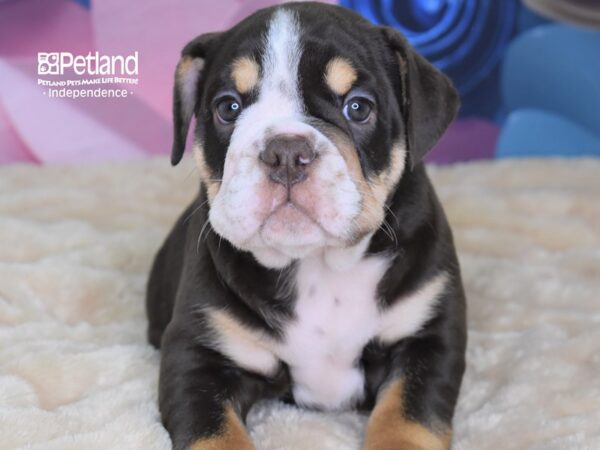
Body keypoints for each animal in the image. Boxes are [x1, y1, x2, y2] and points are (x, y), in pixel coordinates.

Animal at [148, 1, 466, 448]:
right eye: (228, 107)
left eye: (358, 107)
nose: (285, 152)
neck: (317, 264)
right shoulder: (197, 356)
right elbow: (215, 435)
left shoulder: (428, 339)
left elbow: (407, 420)